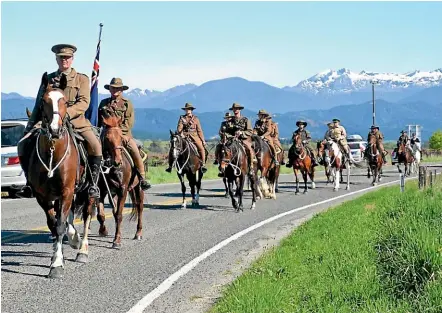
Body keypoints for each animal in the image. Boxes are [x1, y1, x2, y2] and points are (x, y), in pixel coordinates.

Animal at [17, 72, 83, 278]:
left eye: (64, 101)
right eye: (43, 100)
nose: (54, 130)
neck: (53, 152)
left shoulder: (67, 191)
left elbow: (61, 224)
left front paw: (57, 263)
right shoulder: (42, 196)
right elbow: (53, 223)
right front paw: (56, 256)